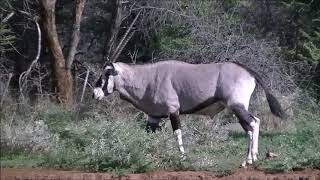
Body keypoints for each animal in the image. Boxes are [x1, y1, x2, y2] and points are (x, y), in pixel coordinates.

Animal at [92, 60, 284, 167]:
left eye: (106, 74)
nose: (95, 94)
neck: (146, 78)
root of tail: (248, 72)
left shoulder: (173, 111)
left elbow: (177, 133)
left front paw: (182, 157)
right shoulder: (153, 117)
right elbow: (147, 135)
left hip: (236, 107)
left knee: (251, 125)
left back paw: (247, 160)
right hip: (240, 108)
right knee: (256, 122)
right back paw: (254, 157)